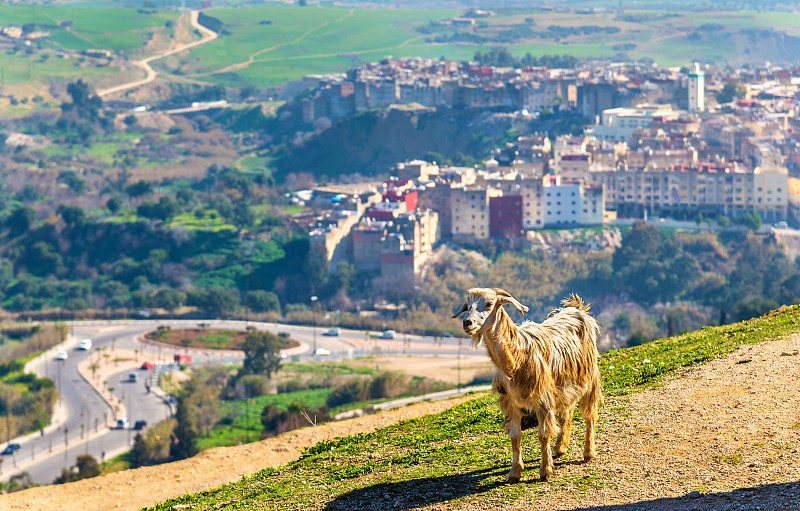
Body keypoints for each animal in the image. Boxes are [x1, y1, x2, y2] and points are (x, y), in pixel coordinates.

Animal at [454, 288, 604, 484]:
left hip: (589, 379)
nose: (467, 323)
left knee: (589, 415)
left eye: (489, 303)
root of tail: (576, 308)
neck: (516, 359)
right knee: (567, 414)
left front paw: (545, 471)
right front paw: (515, 472)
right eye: (468, 305)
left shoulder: (544, 400)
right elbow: (515, 436)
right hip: (566, 385)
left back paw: (588, 452)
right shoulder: (511, 402)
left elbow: (543, 435)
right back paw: (560, 447)